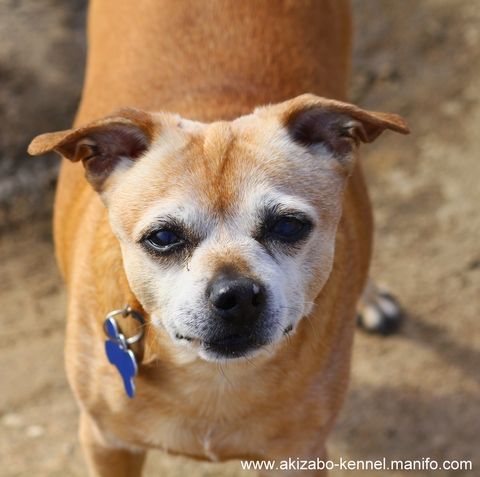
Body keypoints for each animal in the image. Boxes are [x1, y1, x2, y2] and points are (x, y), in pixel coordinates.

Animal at [28, 1, 408, 475]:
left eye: (289, 226)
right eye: (163, 236)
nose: (237, 294)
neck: (210, 377)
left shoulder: (301, 455)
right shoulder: (106, 443)